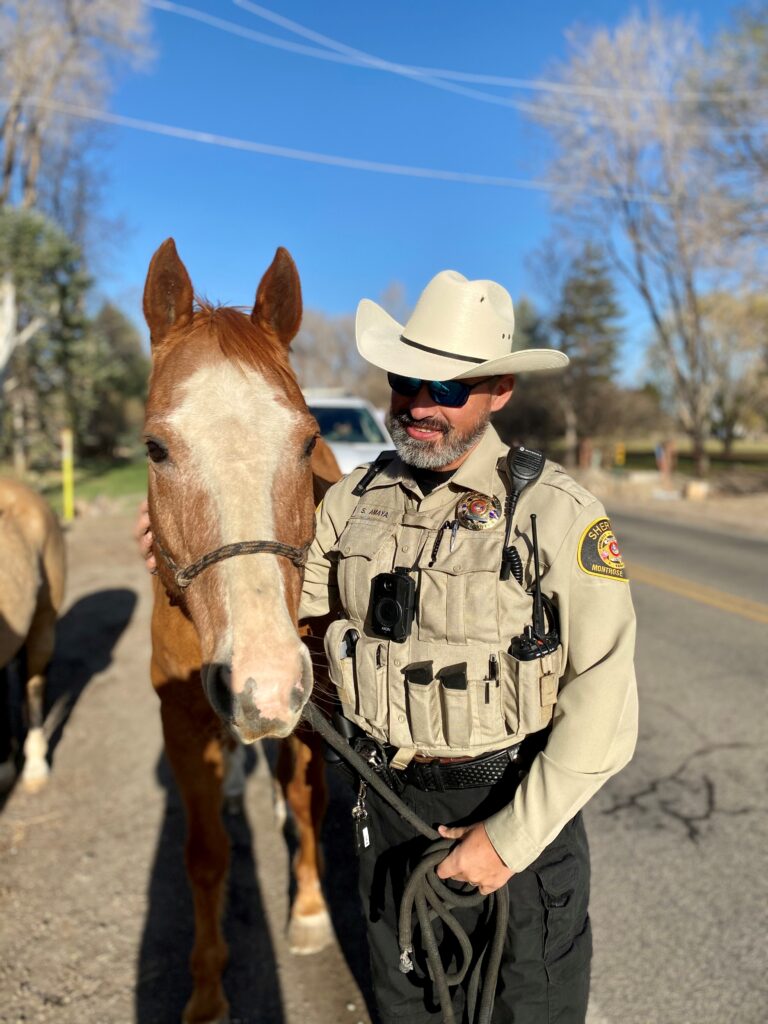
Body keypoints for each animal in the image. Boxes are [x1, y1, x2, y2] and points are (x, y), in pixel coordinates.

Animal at [144, 241, 342, 1024]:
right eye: (155, 449)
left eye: (308, 439)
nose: (263, 681)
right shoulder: (181, 717)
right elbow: (205, 855)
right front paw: (206, 990)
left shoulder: (310, 711)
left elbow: (307, 803)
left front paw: (311, 912)